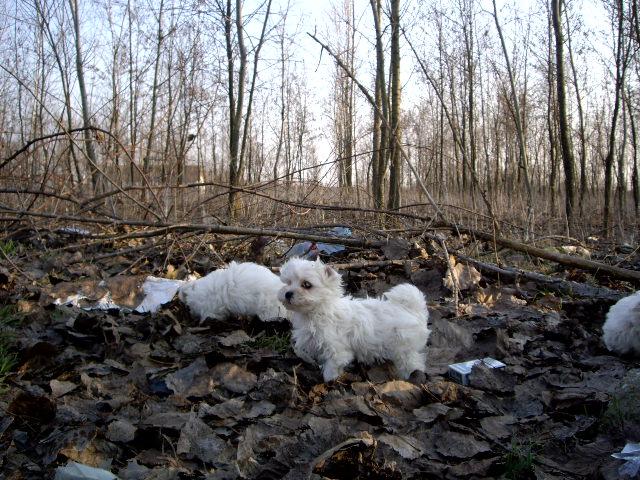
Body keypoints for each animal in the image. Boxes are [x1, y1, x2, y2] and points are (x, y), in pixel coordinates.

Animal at [278, 258, 432, 382]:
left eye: (307, 285)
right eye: (288, 282)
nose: (288, 293)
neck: (318, 312)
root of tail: (413, 310)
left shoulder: (337, 350)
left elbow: (333, 366)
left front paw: (329, 379)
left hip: (405, 348)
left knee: (412, 363)